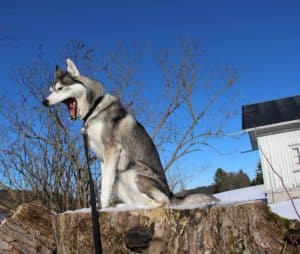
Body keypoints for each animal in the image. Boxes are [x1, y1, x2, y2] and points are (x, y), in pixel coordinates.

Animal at [42, 58, 217, 207]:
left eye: (60, 88)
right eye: (50, 90)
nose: (44, 102)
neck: (94, 108)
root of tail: (172, 194)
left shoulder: (112, 150)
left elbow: (104, 192)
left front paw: (102, 210)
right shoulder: (103, 159)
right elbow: (104, 186)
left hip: (133, 173)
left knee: (162, 202)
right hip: (119, 179)